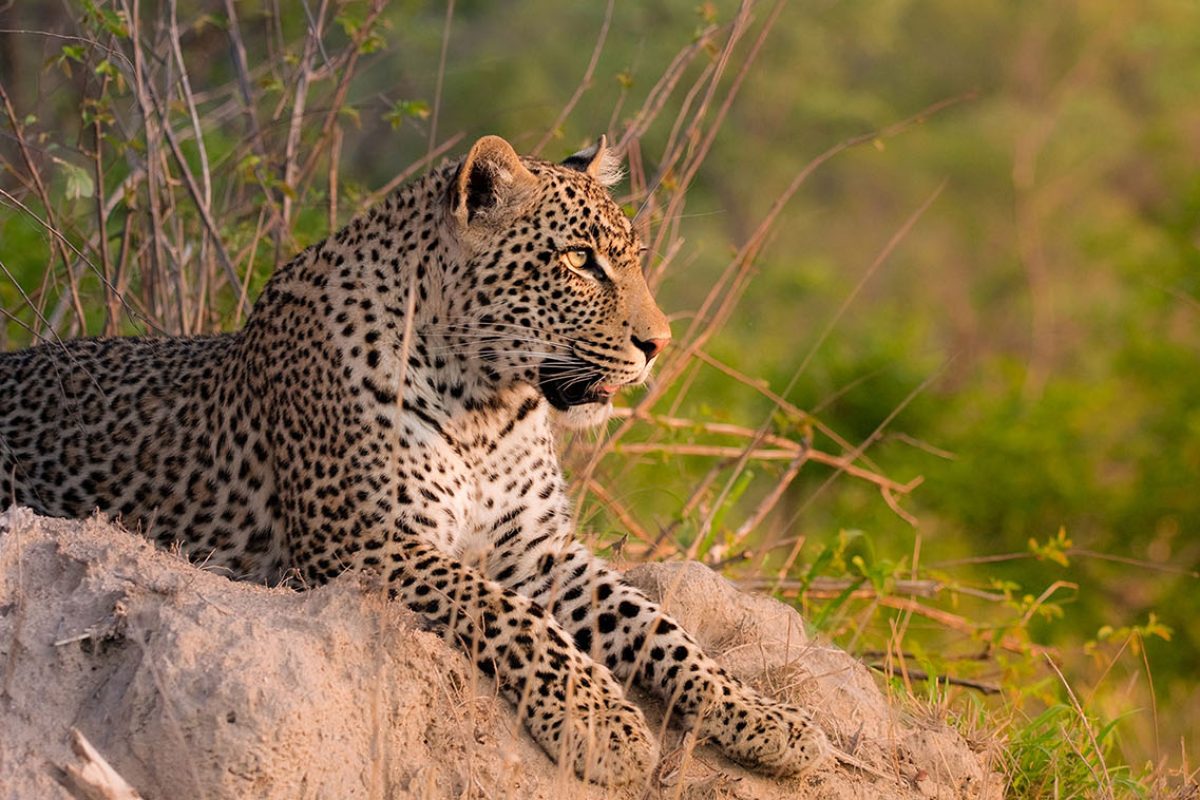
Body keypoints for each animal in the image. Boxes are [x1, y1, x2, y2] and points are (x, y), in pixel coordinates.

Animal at [0, 134, 830, 786]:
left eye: (628, 262)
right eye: (579, 260)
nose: (658, 344)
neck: (486, 406)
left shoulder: (540, 549)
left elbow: (662, 628)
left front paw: (769, 719)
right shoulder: (364, 541)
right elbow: (510, 616)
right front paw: (603, 722)